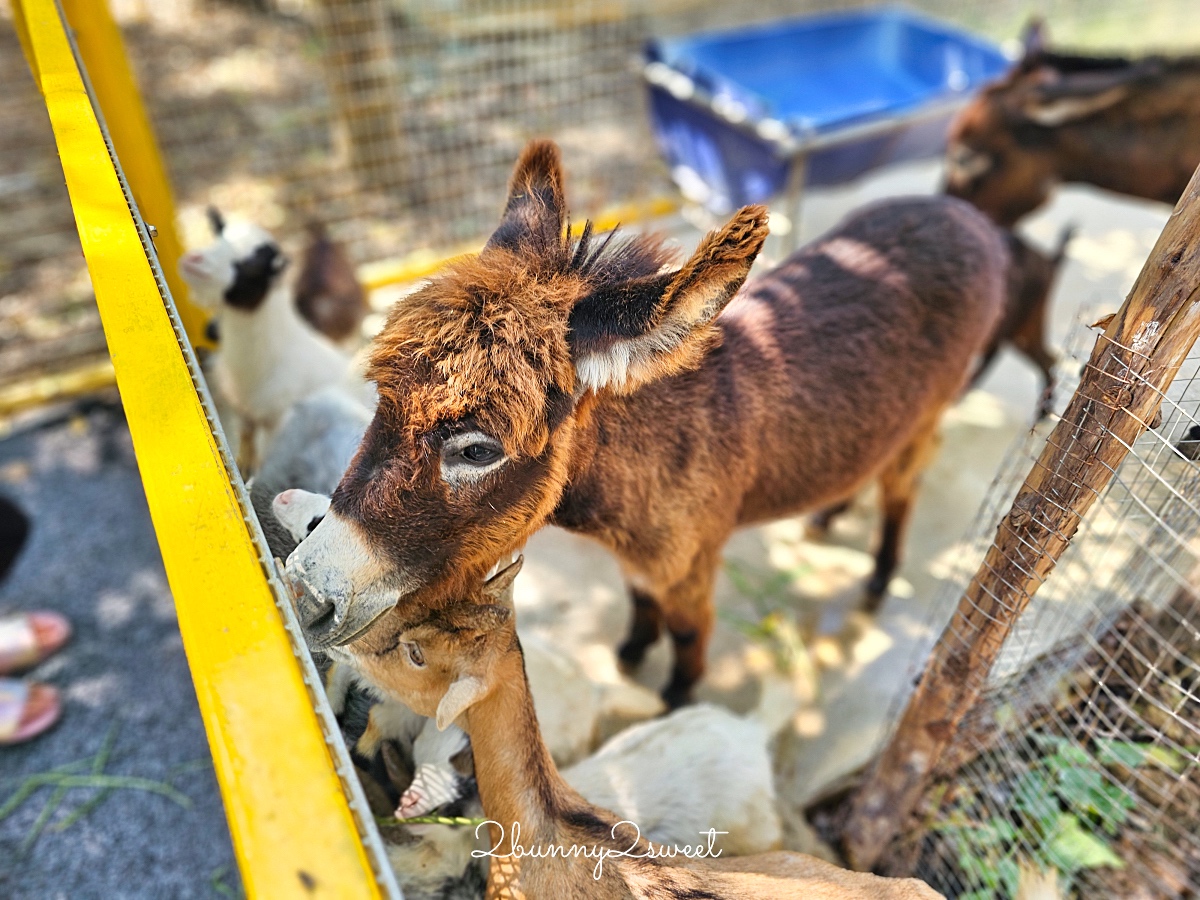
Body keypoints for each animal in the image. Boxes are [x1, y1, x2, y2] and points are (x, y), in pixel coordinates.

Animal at [292, 137, 1012, 710]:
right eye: (382, 398)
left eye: (477, 451)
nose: (303, 592)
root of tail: (963, 215)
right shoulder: (640, 558)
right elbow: (639, 601)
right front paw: (631, 653)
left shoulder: (689, 562)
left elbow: (689, 632)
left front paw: (676, 697)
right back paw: (829, 514)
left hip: (927, 416)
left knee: (902, 490)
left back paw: (880, 575)